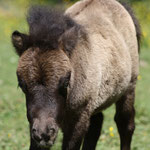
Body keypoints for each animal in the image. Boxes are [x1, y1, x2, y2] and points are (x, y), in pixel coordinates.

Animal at [11, 0, 141, 149]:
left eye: (66, 82)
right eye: (22, 85)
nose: (44, 134)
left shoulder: (78, 119)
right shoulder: (34, 123)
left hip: (129, 87)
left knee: (124, 123)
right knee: (96, 124)